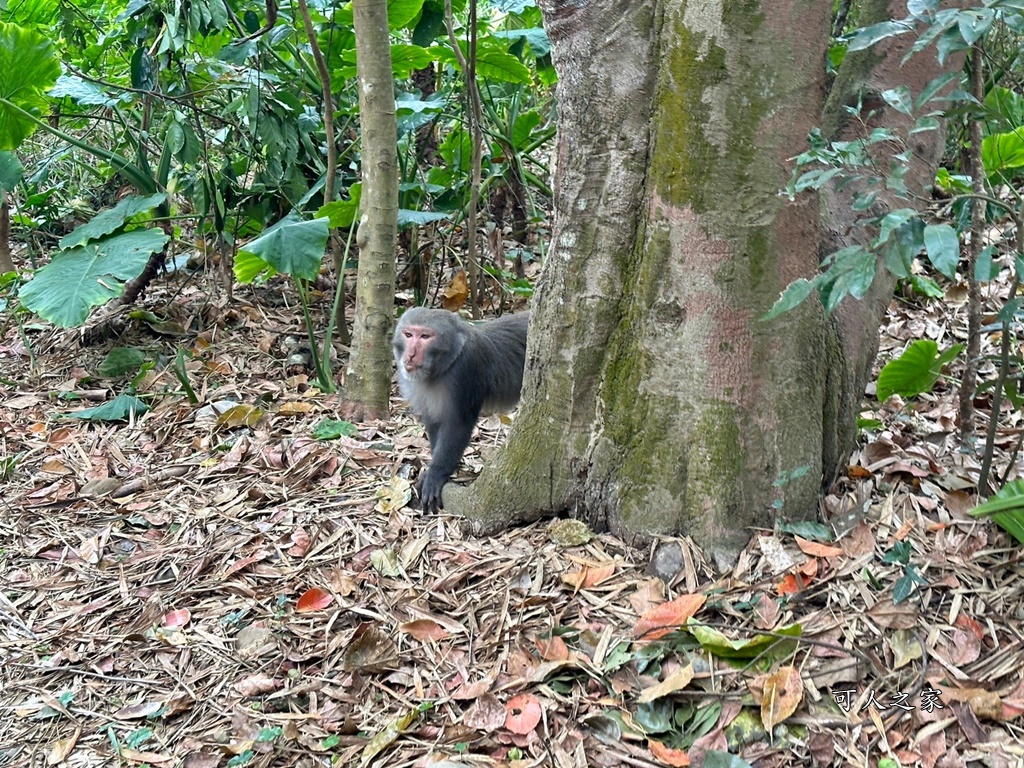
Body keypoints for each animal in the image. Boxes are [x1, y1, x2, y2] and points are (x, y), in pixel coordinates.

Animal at [393, 307, 532, 512]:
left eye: (425, 336)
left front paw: (437, 472)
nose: (410, 354)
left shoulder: (465, 371)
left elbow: (458, 424)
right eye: (408, 334)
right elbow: (434, 420)